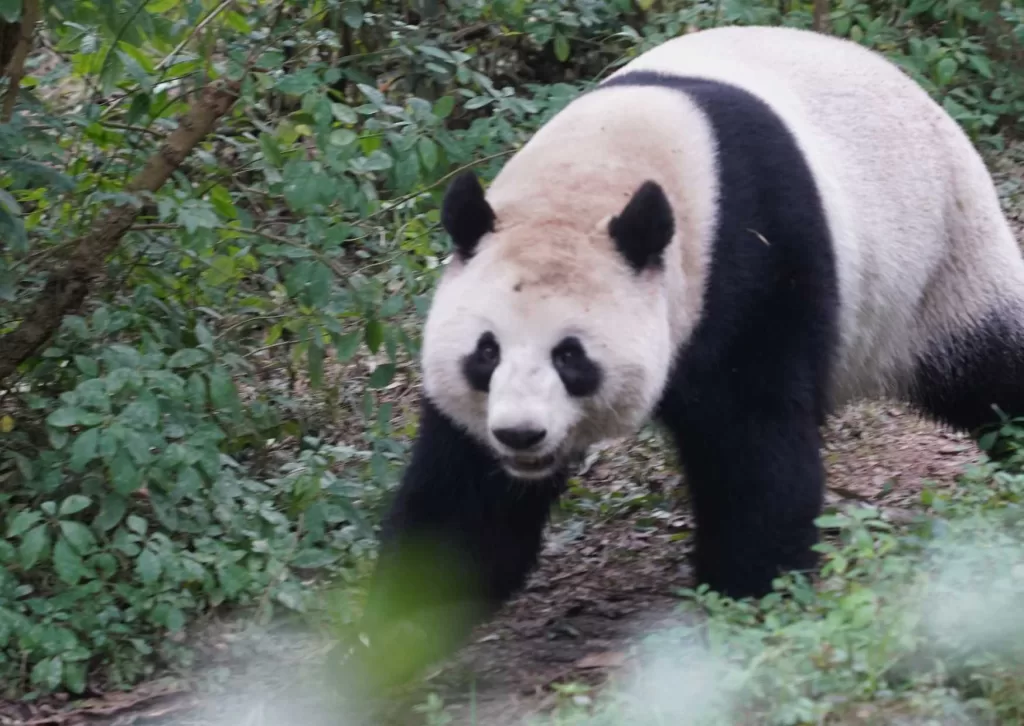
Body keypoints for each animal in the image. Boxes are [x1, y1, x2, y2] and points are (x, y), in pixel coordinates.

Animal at [350, 25, 1024, 684]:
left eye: (571, 357)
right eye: (486, 353)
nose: (521, 435)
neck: (591, 177)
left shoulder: (753, 260)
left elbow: (753, 443)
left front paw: (746, 598)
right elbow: (467, 502)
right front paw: (398, 631)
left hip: (940, 262)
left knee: (990, 368)